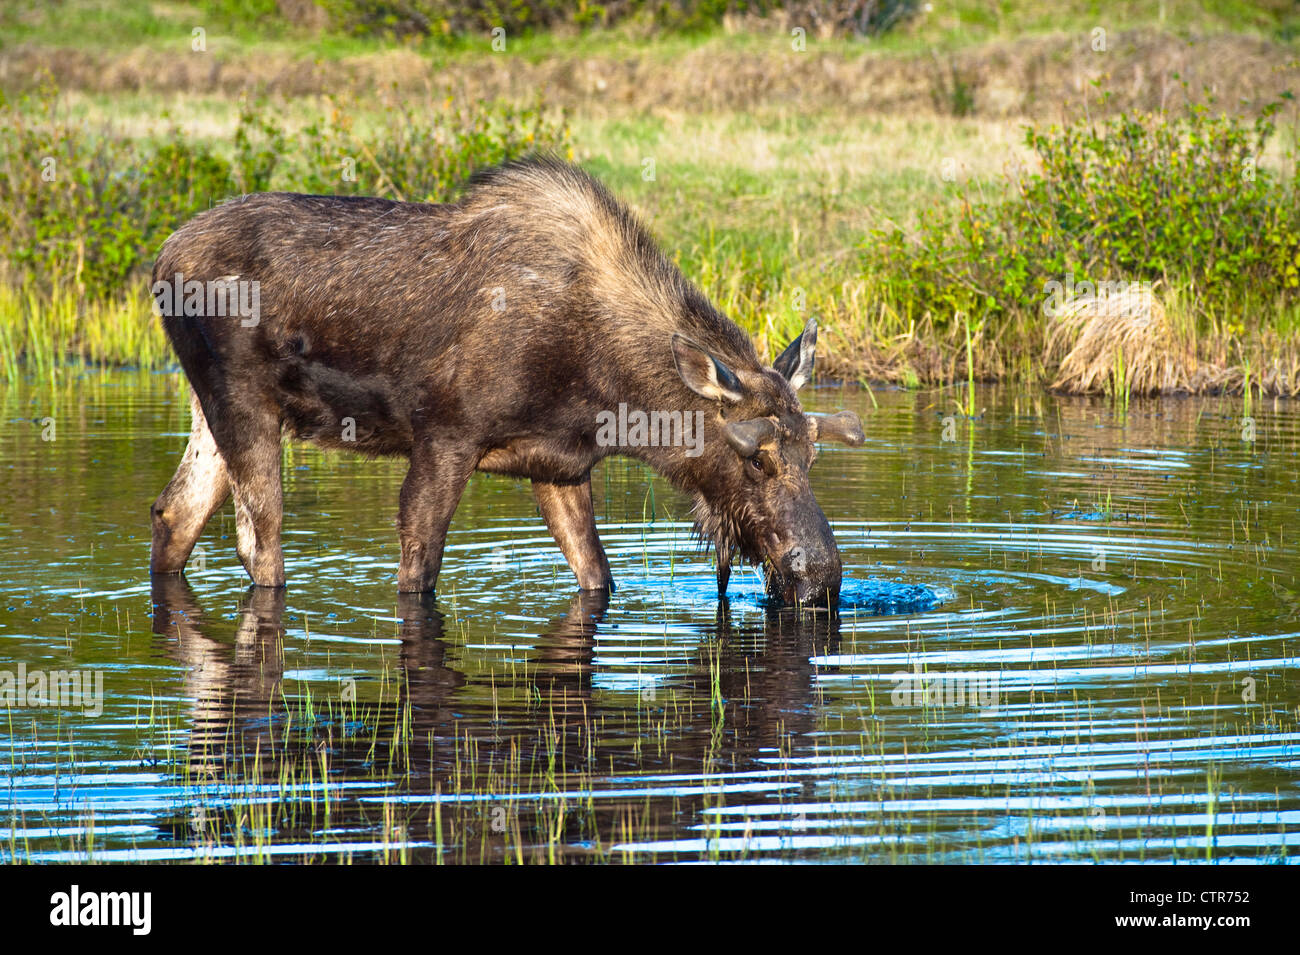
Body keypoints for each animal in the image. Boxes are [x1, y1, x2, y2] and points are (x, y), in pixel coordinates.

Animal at [149, 157, 863, 605]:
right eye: (756, 460)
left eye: (811, 455)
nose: (824, 578)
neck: (610, 393)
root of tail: (159, 262)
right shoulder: (446, 437)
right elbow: (418, 569)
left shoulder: (561, 467)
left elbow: (597, 575)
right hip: (245, 401)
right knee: (258, 543)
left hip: (209, 409)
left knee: (174, 513)